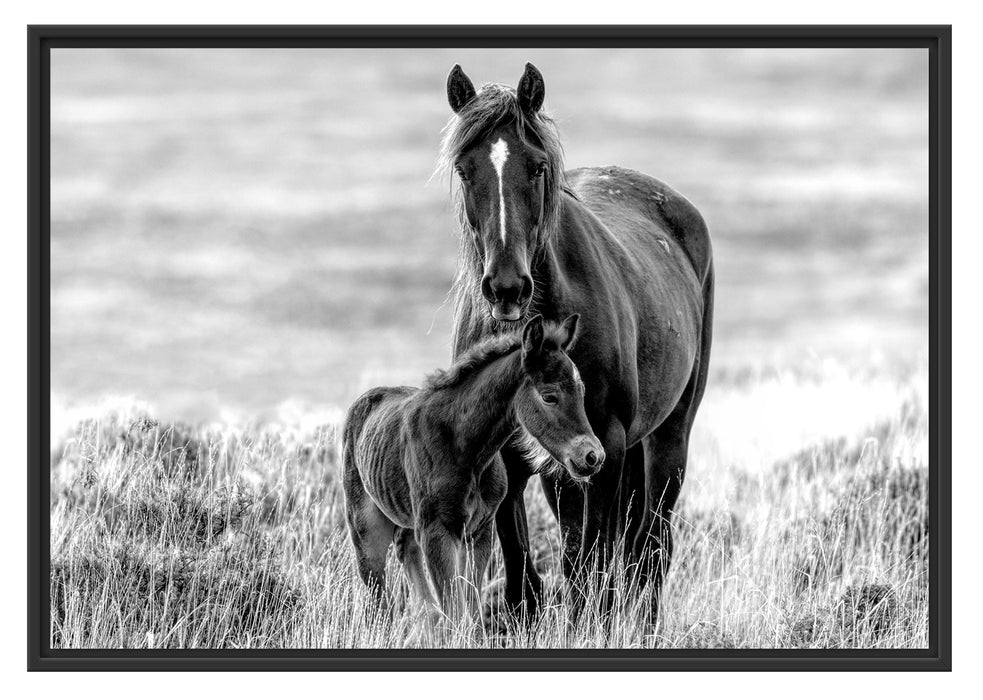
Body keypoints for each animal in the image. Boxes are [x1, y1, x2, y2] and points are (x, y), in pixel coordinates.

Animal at [340, 314, 600, 616]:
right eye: (549, 396)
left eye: (581, 390)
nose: (592, 456)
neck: (466, 449)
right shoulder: (437, 533)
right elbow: (455, 608)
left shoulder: (479, 532)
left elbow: (470, 607)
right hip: (365, 527)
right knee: (377, 591)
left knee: (410, 563)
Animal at [442, 63, 712, 616]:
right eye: (464, 169)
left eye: (537, 167)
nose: (507, 288)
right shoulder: (513, 459)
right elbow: (524, 571)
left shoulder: (603, 445)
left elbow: (593, 565)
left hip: (667, 437)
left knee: (651, 546)